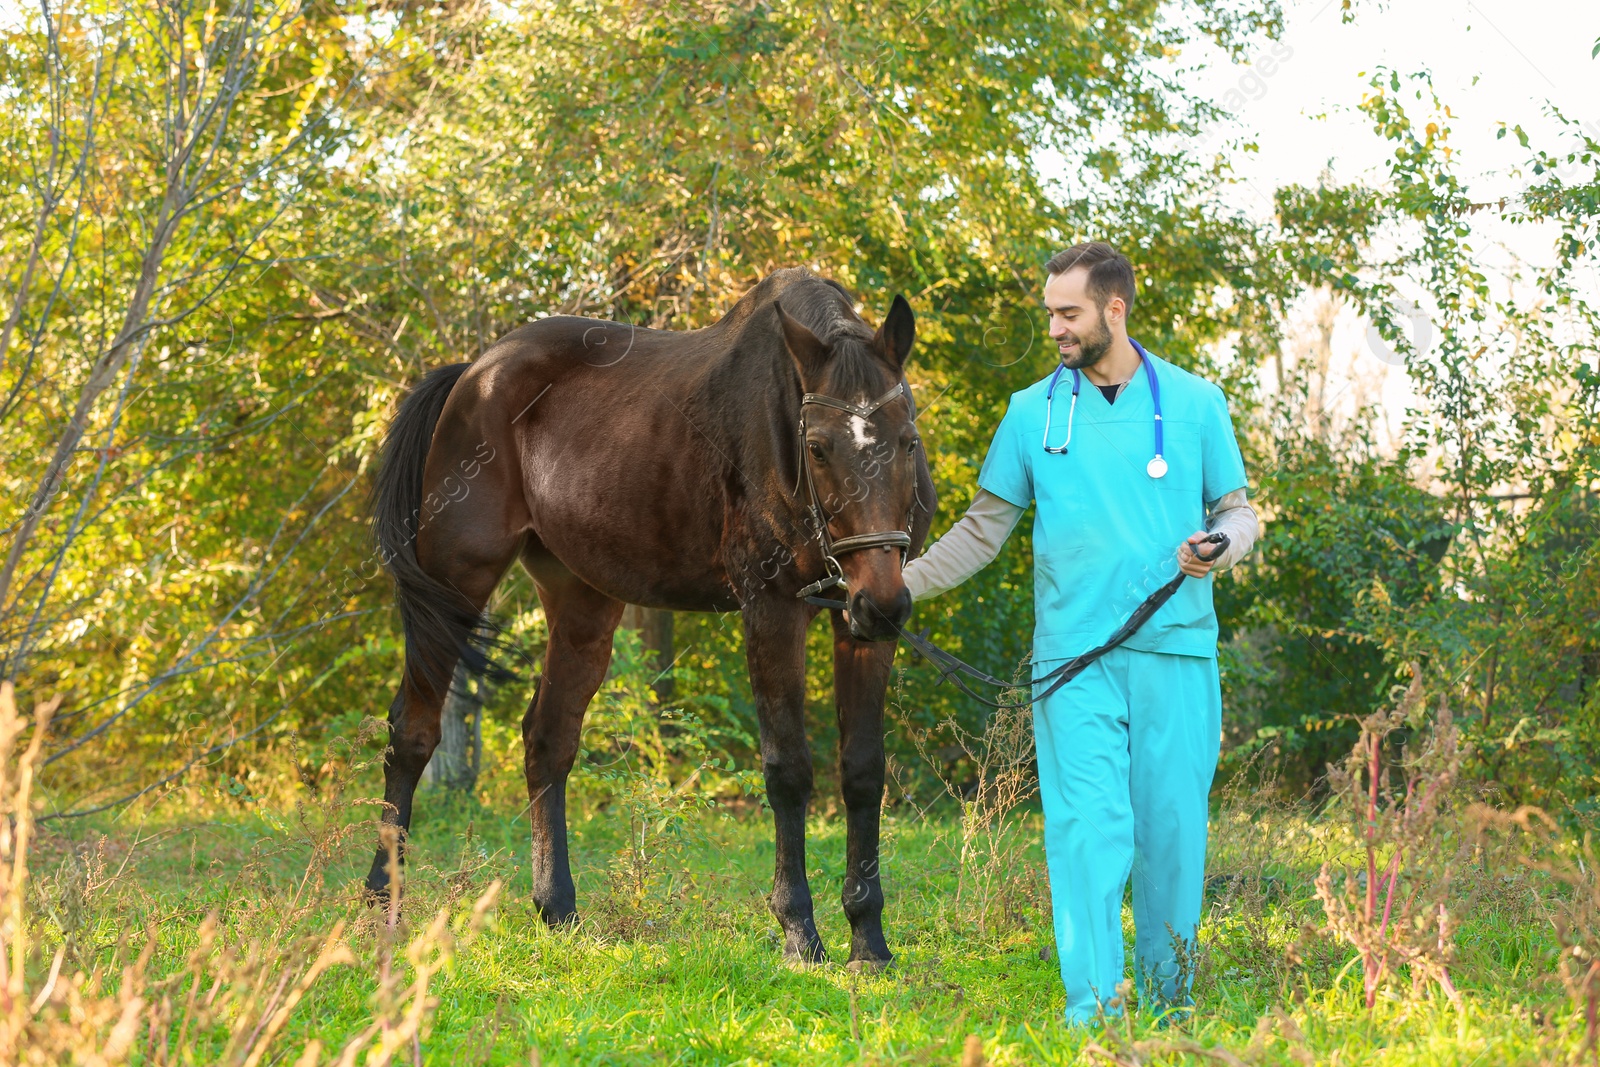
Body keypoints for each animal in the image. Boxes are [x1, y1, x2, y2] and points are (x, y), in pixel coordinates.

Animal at [366, 268, 934, 966]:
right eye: (819, 449)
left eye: (908, 441)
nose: (883, 603)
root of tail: (476, 372)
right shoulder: (772, 609)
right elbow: (789, 770)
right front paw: (799, 930)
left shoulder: (856, 627)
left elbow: (862, 771)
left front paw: (869, 936)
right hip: (454, 587)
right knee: (412, 733)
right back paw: (379, 904)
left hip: (582, 601)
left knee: (548, 738)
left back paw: (557, 908)